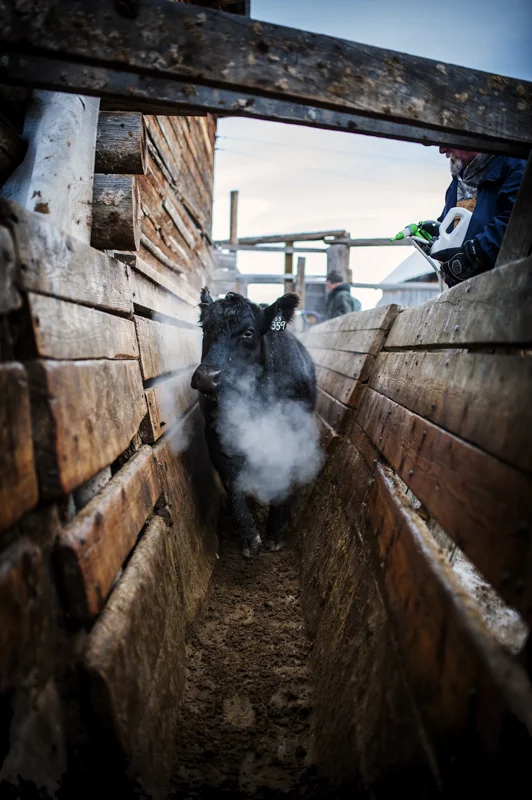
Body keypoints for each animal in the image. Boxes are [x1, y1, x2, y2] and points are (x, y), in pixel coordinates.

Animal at [191, 289, 318, 558]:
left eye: (248, 332)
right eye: (205, 327)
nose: (207, 377)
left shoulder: (293, 433)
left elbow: (283, 474)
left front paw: (275, 533)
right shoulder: (216, 433)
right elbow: (231, 480)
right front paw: (248, 536)